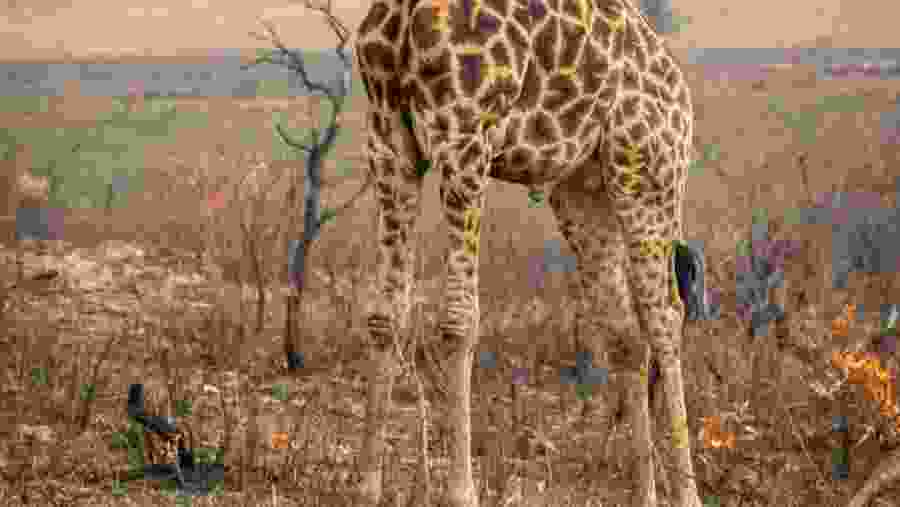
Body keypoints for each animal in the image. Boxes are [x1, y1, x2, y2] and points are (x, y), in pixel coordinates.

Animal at [355, 0, 699, 505]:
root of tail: (680, 90)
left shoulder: (466, 139)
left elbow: (458, 320)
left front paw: (462, 492)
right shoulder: (389, 140)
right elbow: (383, 318)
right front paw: (367, 487)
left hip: (648, 173)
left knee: (666, 316)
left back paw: (688, 494)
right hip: (584, 191)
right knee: (625, 335)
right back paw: (644, 495)